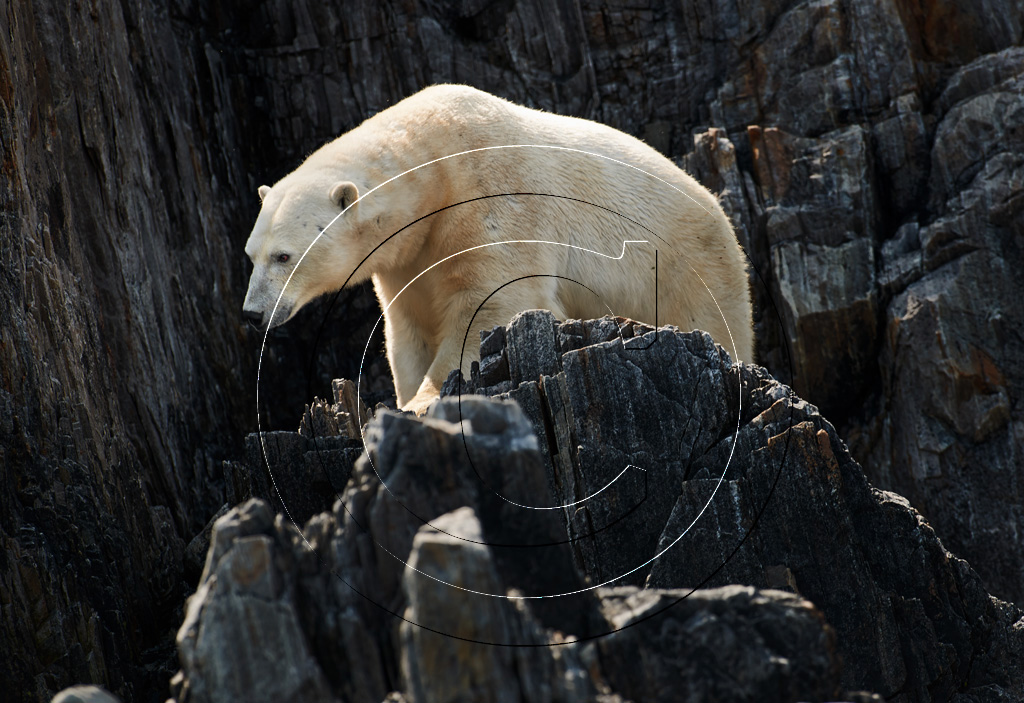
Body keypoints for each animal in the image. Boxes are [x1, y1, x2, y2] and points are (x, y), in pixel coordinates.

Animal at [239, 85, 753, 415]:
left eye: (284, 256)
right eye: (251, 254)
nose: (252, 313)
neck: (435, 164)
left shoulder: (491, 197)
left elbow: (490, 303)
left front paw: (422, 403)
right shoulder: (408, 257)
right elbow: (409, 327)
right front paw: (405, 397)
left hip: (693, 274)